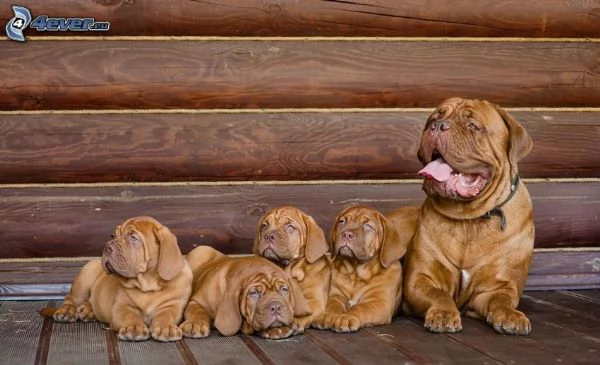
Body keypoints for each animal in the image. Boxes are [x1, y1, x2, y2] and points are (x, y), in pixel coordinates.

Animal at [39, 215, 192, 340]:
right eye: (113, 235)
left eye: (133, 238)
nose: (107, 247)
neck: (148, 285)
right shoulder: (121, 306)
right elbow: (129, 315)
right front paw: (133, 327)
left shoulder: (172, 306)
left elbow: (166, 315)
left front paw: (167, 327)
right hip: (84, 277)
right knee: (70, 299)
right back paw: (67, 311)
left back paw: (89, 310)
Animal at [180, 245, 312, 338]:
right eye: (254, 293)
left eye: (284, 290)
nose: (275, 307)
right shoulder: (196, 301)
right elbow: (198, 311)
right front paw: (195, 324)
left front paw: (277, 329)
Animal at [404, 95, 536, 334]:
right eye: (433, 120)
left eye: (473, 126)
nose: (437, 126)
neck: (468, 218)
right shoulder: (420, 279)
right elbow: (438, 294)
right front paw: (443, 313)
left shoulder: (496, 286)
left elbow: (501, 300)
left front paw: (511, 315)